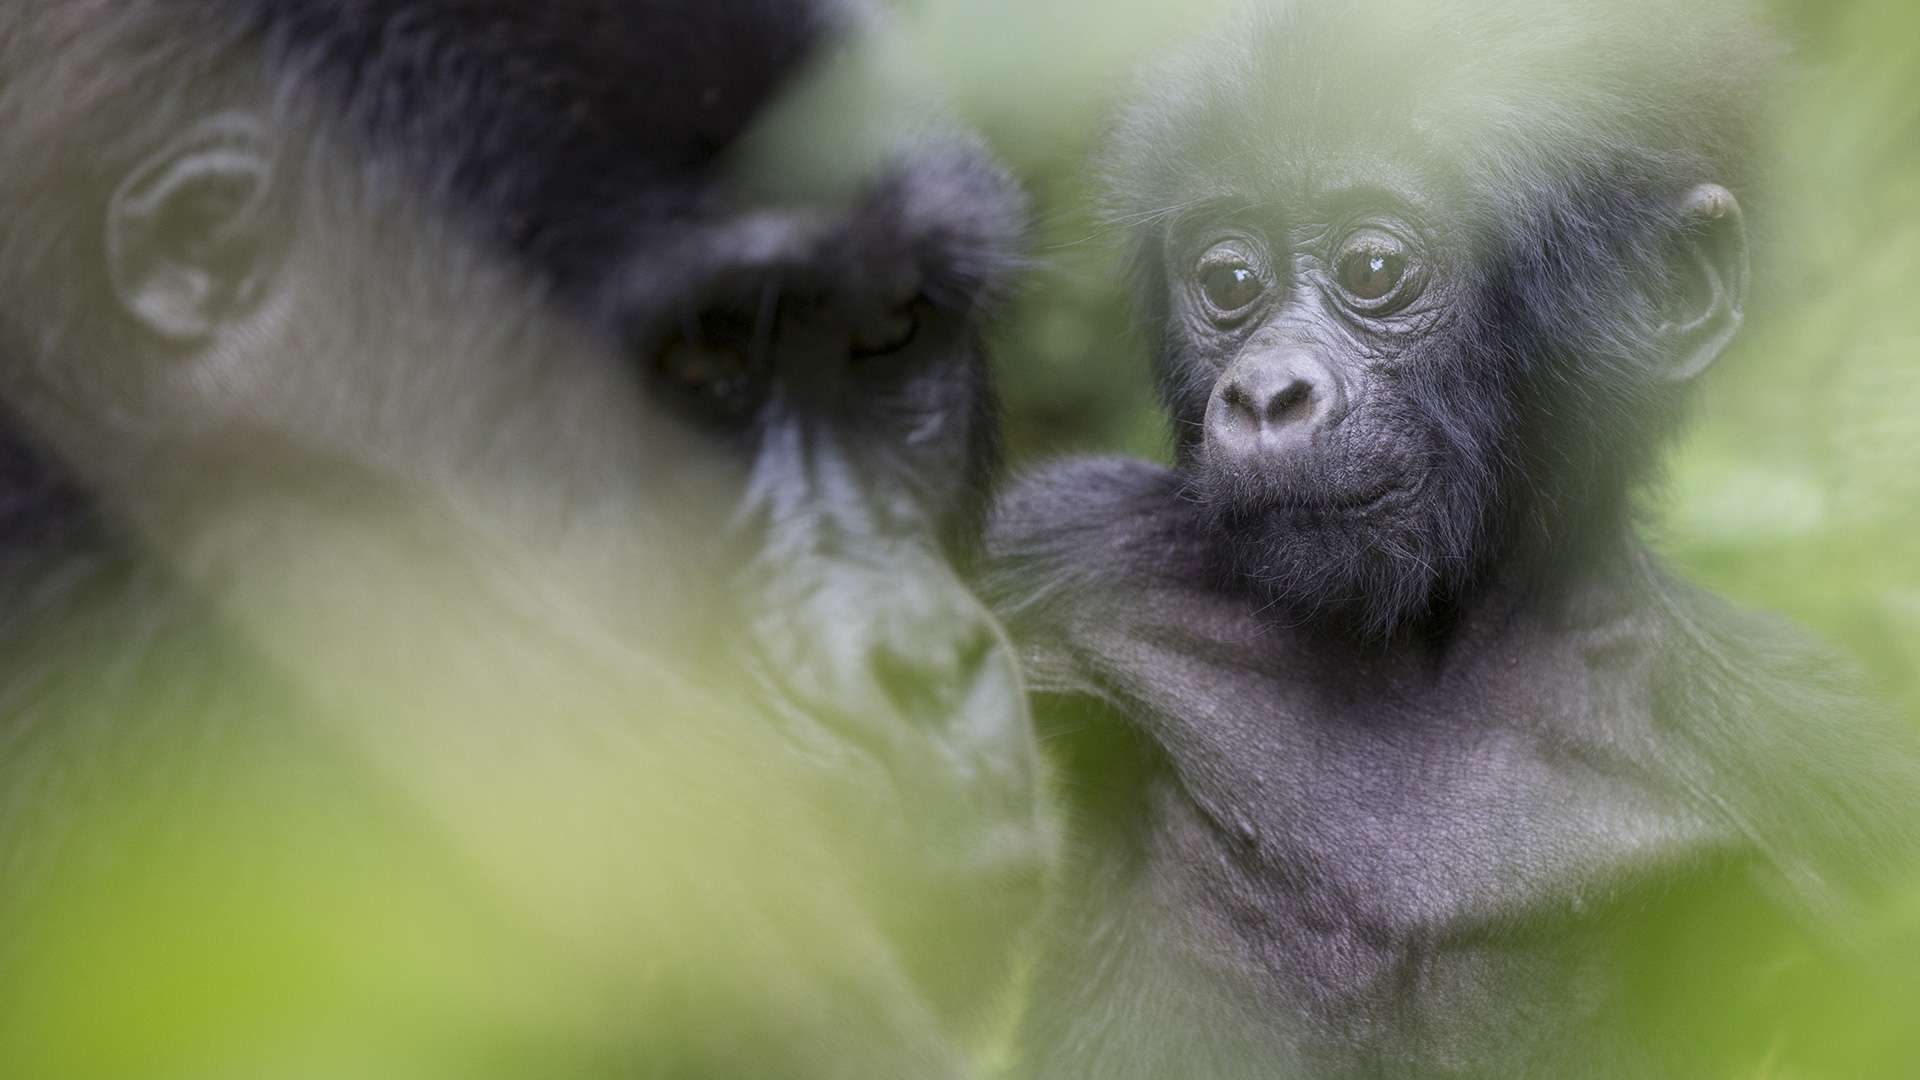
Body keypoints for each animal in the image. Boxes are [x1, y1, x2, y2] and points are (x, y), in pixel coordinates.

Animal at [990, 2, 1920, 1076]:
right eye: (1228, 276)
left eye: (1375, 269)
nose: (1265, 393)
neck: (1432, 647)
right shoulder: (1065, 550)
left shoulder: (1813, 759)